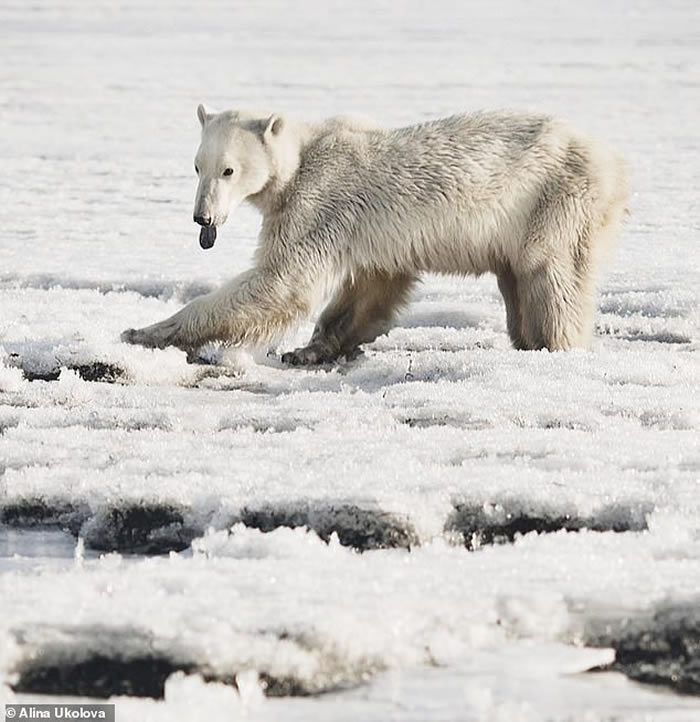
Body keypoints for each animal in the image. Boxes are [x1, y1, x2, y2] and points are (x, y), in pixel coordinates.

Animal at [121, 104, 628, 362]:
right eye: (196, 166)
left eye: (229, 169)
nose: (203, 219)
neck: (303, 155)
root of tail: (613, 163)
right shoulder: (372, 237)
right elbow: (372, 287)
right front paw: (312, 349)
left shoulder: (316, 203)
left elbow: (281, 283)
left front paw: (144, 331)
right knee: (516, 277)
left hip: (555, 199)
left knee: (552, 273)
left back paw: (554, 344)